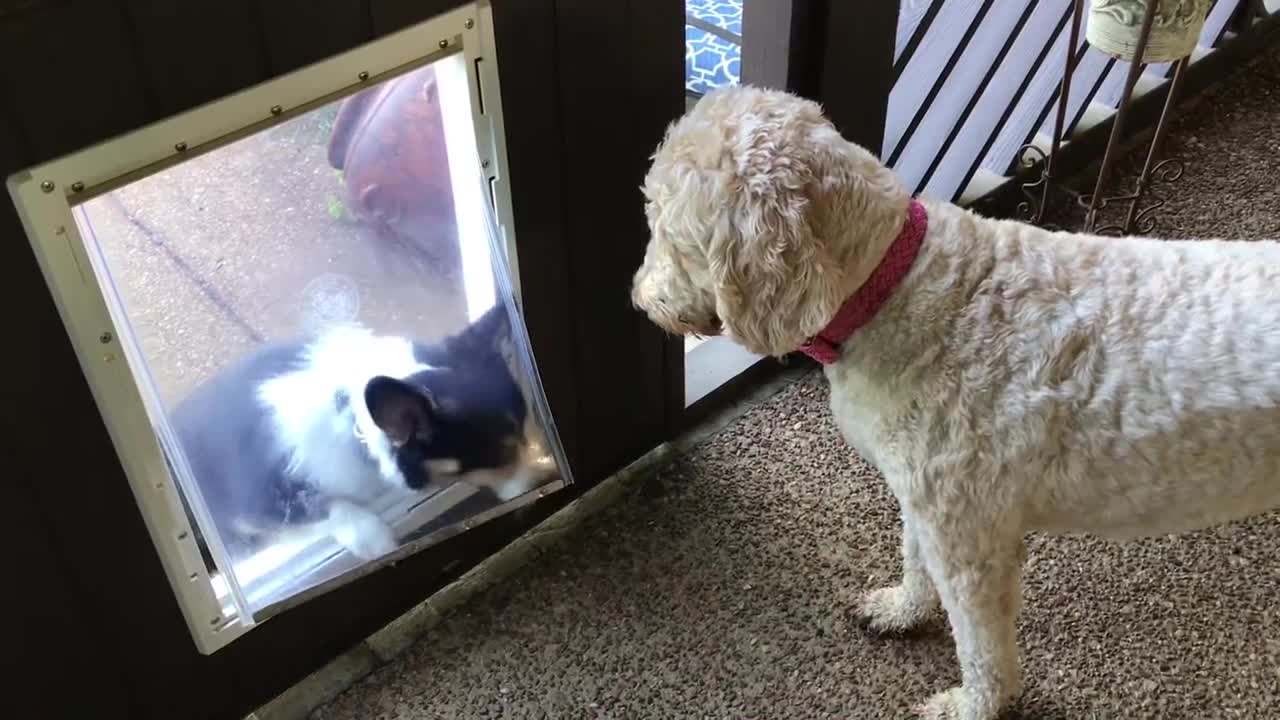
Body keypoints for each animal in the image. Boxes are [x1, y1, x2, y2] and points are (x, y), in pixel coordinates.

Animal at [170, 299, 540, 563]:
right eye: (498, 452)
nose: (543, 480)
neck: (353, 419)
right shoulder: (263, 504)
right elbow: (328, 507)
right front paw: (376, 540)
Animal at [634, 85, 1280, 717]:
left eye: (668, 231)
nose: (640, 299)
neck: (899, 283)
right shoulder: (927, 498)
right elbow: (915, 560)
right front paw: (902, 609)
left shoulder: (969, 532)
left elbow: (979, 641)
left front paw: (973, 703)